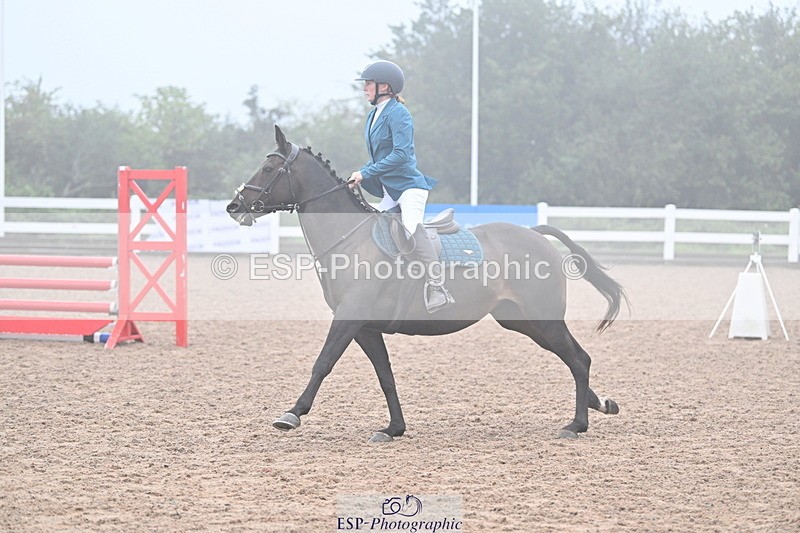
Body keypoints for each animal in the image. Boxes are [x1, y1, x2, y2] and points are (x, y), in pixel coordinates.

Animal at [227, 126, 627, 442]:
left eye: (268, 167)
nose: (234, 205)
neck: (350, 239)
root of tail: (535, 234)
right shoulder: (365, 327)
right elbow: (385, 376)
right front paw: (393, 429)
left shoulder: (349, 317)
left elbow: (322, 363)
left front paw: (292, 414)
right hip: (522, 321)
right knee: (573, 357)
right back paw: (599, 404)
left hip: (542, 318)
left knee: (578, 359)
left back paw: (576, 424)